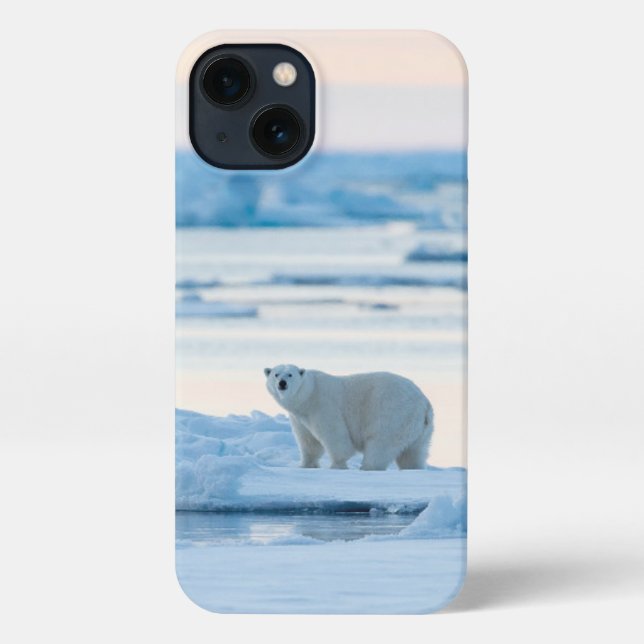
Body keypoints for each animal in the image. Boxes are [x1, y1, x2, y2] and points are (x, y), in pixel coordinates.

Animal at [264, 364, 433, 470]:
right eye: (275, 374)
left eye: (290, 374)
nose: (282, 383)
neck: (308, 394)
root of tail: (424, 404)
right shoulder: (300, 417)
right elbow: (309, 442)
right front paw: (305, 465)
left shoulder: (323, 405)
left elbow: (335, 435)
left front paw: (336, 465)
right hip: (418, 429)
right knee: (413, 453)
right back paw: (413, 468)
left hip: (393, 415)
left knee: (380, 444)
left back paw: (367, 467)